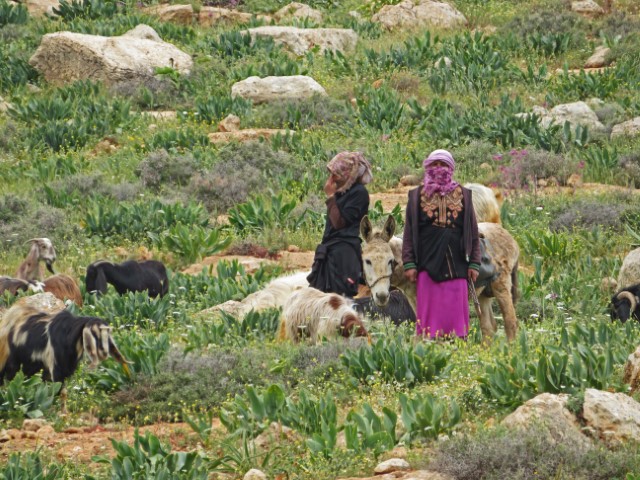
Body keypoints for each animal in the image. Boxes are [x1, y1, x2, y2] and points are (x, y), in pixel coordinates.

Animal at [0, 304, 130, 408]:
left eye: (107, 335)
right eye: (94, 334)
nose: (104, 352)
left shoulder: (64, 369)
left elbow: (60, 392)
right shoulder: (55, 367)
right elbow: (59, 390)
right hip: (13, 363)